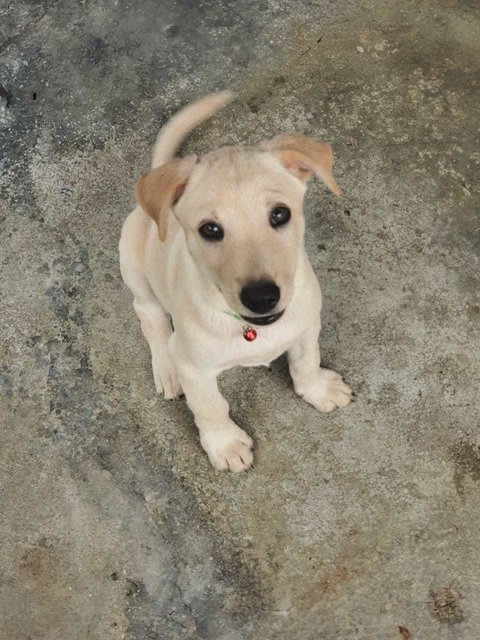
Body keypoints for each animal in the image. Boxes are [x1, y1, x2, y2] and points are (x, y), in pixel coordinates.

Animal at [120, 91, 352, 470]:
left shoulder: (306, 325)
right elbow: (211, 406)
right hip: (132, 262)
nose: (261, 297)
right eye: (210, 230)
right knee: (149, 315)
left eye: (280, 214)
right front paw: (225, 445)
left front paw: (319, 389)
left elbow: (306, 361)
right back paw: (166, 368)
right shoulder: (194, 367)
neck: (251, 330)